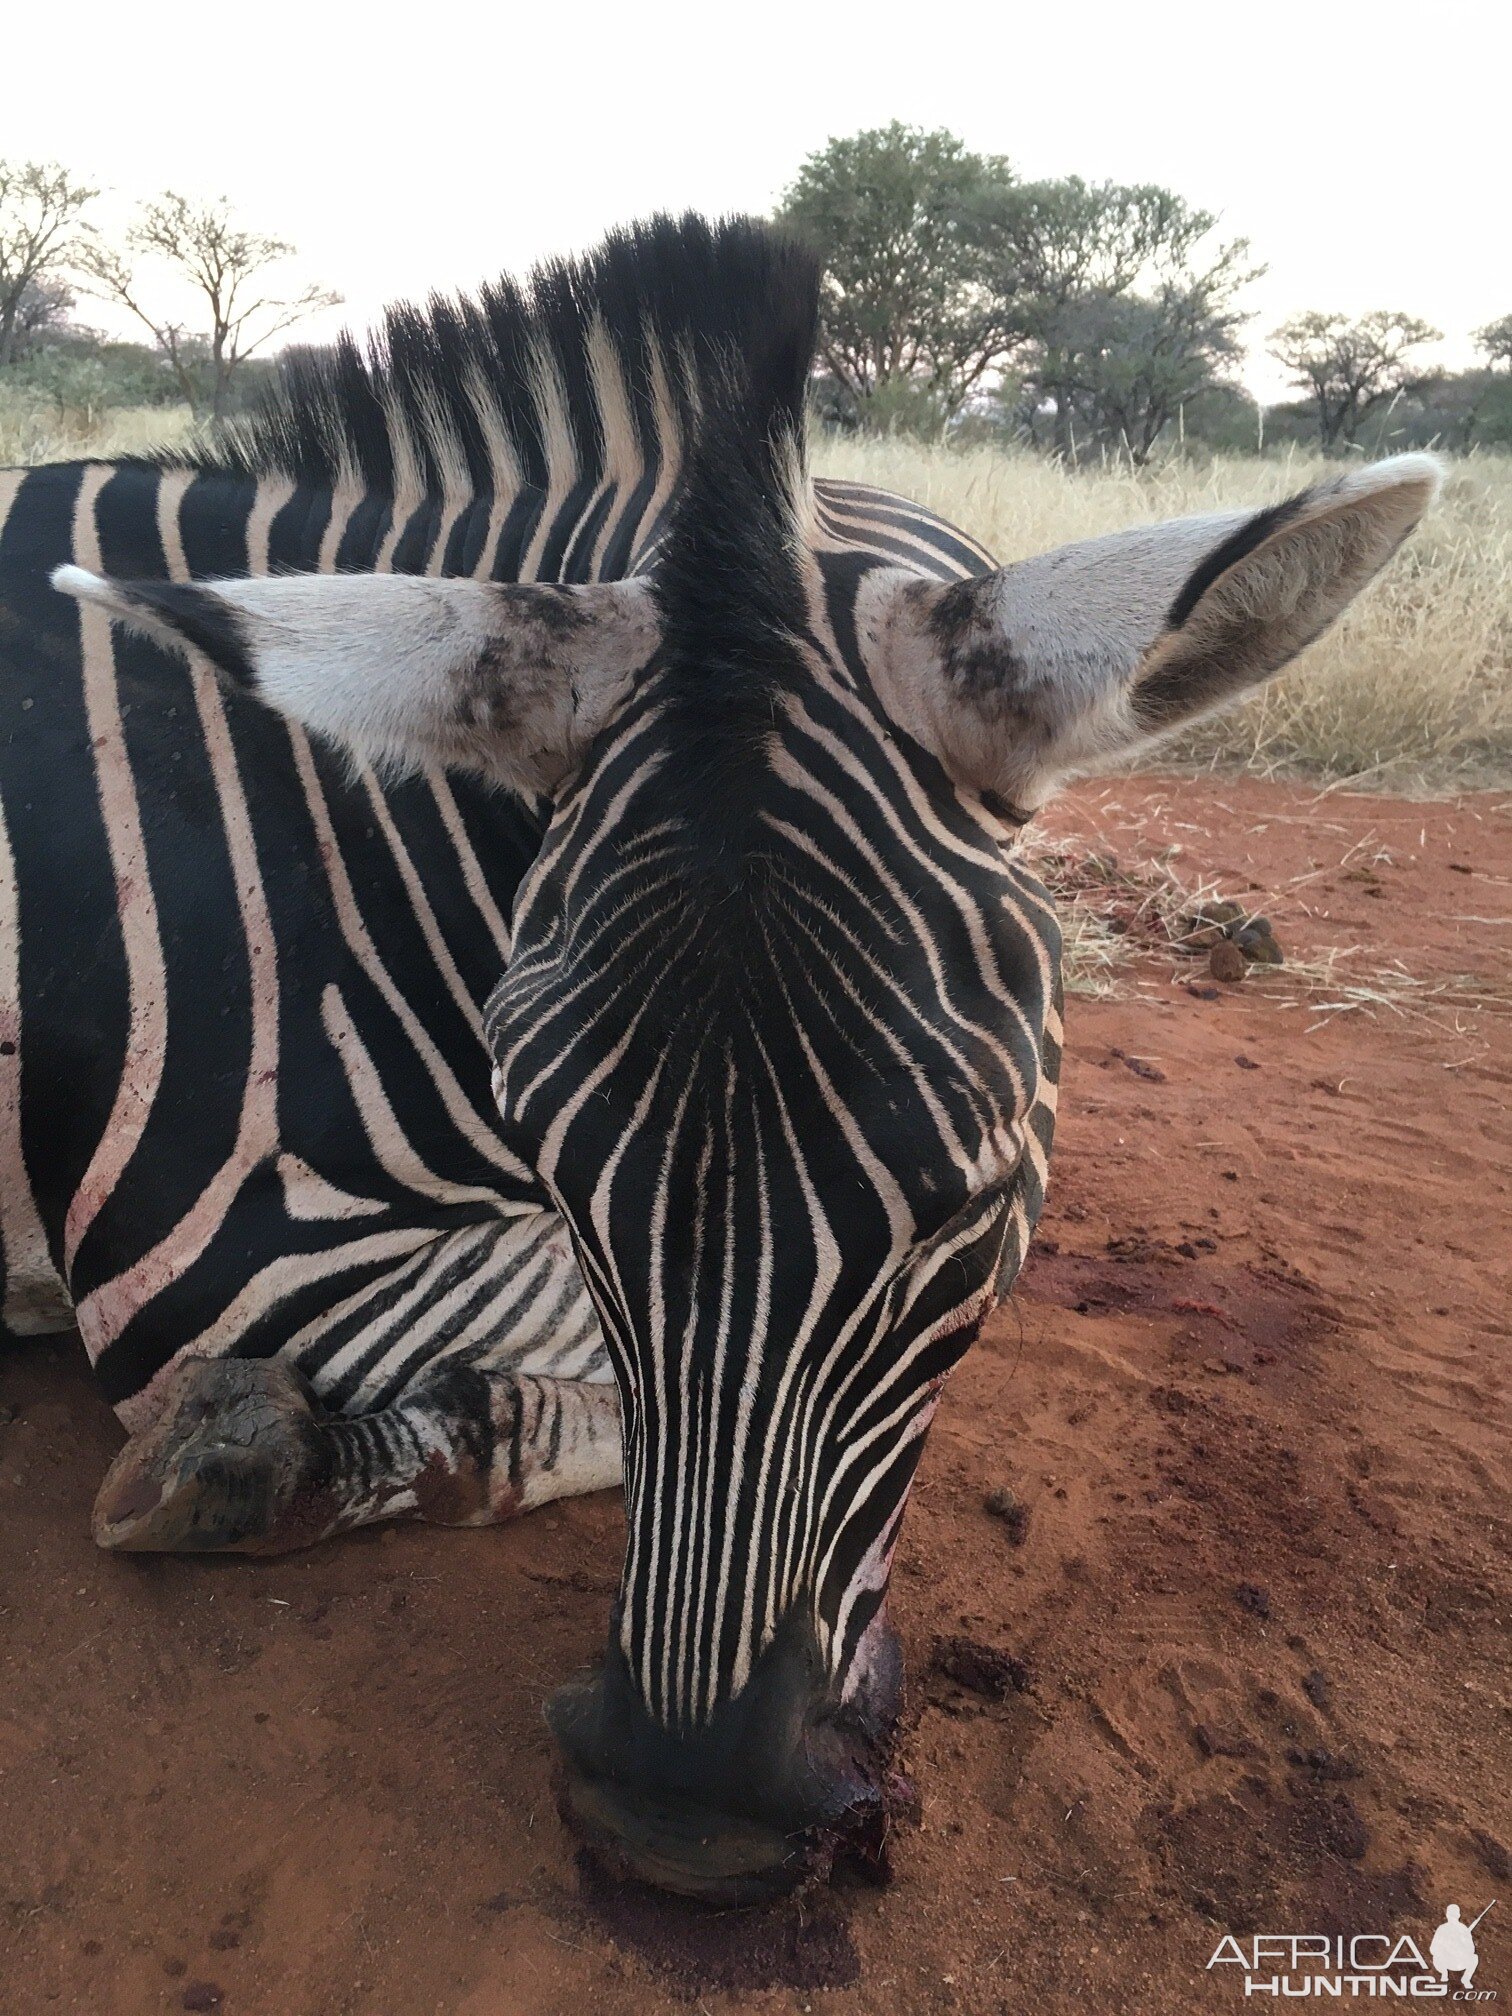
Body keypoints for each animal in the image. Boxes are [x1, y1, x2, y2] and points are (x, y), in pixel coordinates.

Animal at [8, 212, 1435, 1895]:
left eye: (971, 1212)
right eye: (560, 1169)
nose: (678, 1821)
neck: (347, 841)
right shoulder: (210, 1249)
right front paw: (246, 1447)